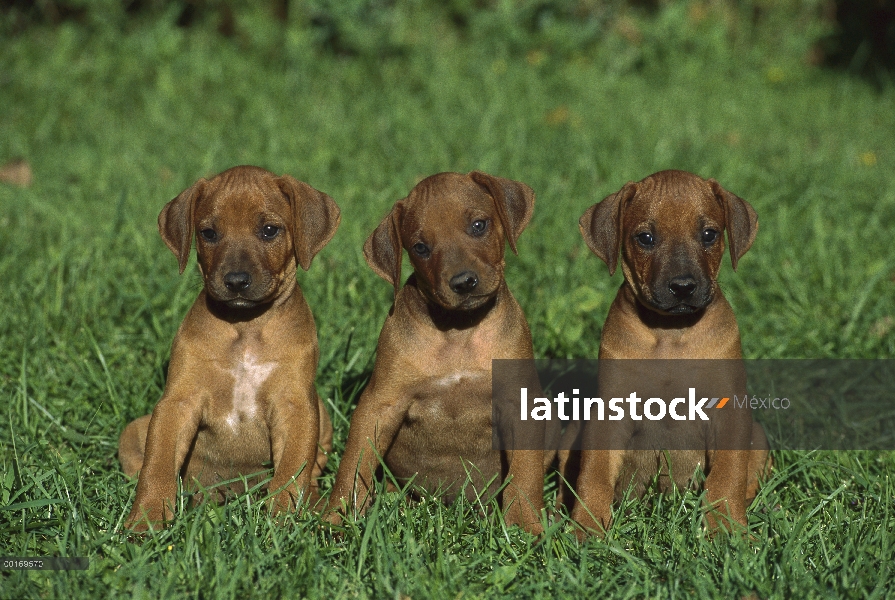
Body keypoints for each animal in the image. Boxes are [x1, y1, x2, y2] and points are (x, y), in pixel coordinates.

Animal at [324, 170, 544, 536]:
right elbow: (353, 467)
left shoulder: (519, 404)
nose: (464, 283)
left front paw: (525, 529)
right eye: (420, 247)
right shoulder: (379, 405)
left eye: (479, 225)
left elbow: (525, 474)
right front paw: (334, 520)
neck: (458, 331)